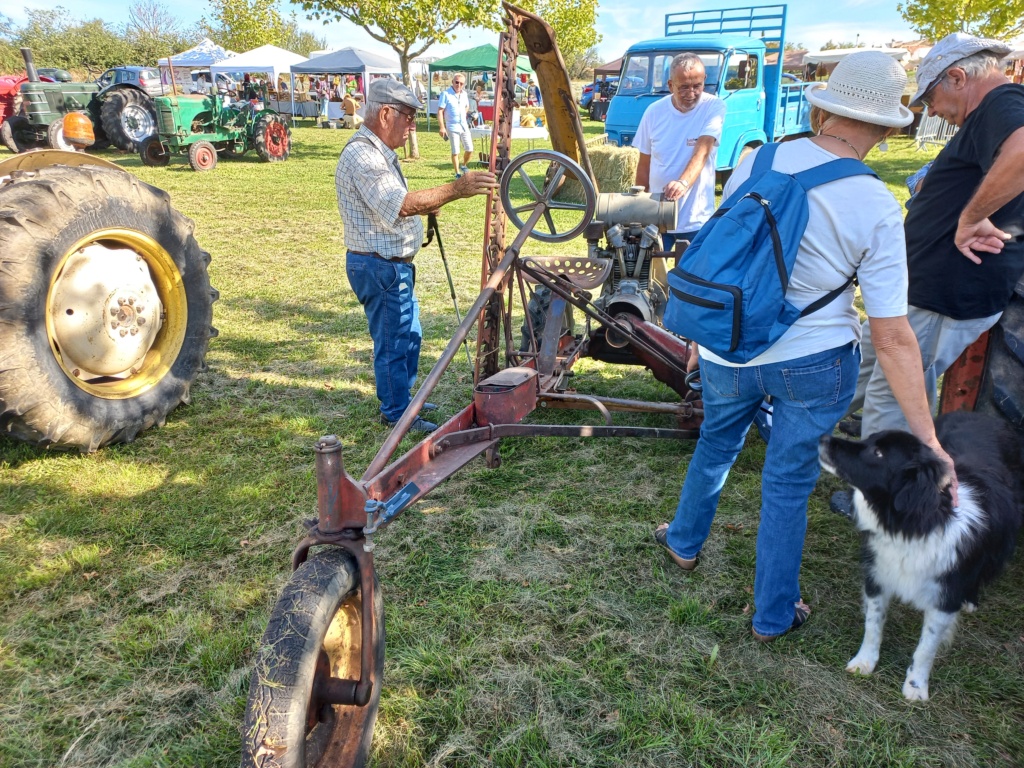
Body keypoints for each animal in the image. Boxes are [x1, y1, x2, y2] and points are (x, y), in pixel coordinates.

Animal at [819, 415, 1019, 704]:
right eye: (869, 439)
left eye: (878, 453)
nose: (823, 438)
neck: (913, 526)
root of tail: (982, 416)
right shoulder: (878, 574)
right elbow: (873, 625)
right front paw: (864, 661)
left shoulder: (944, 599)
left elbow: (926, 647)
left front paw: (915, 686)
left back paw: (971, 599)